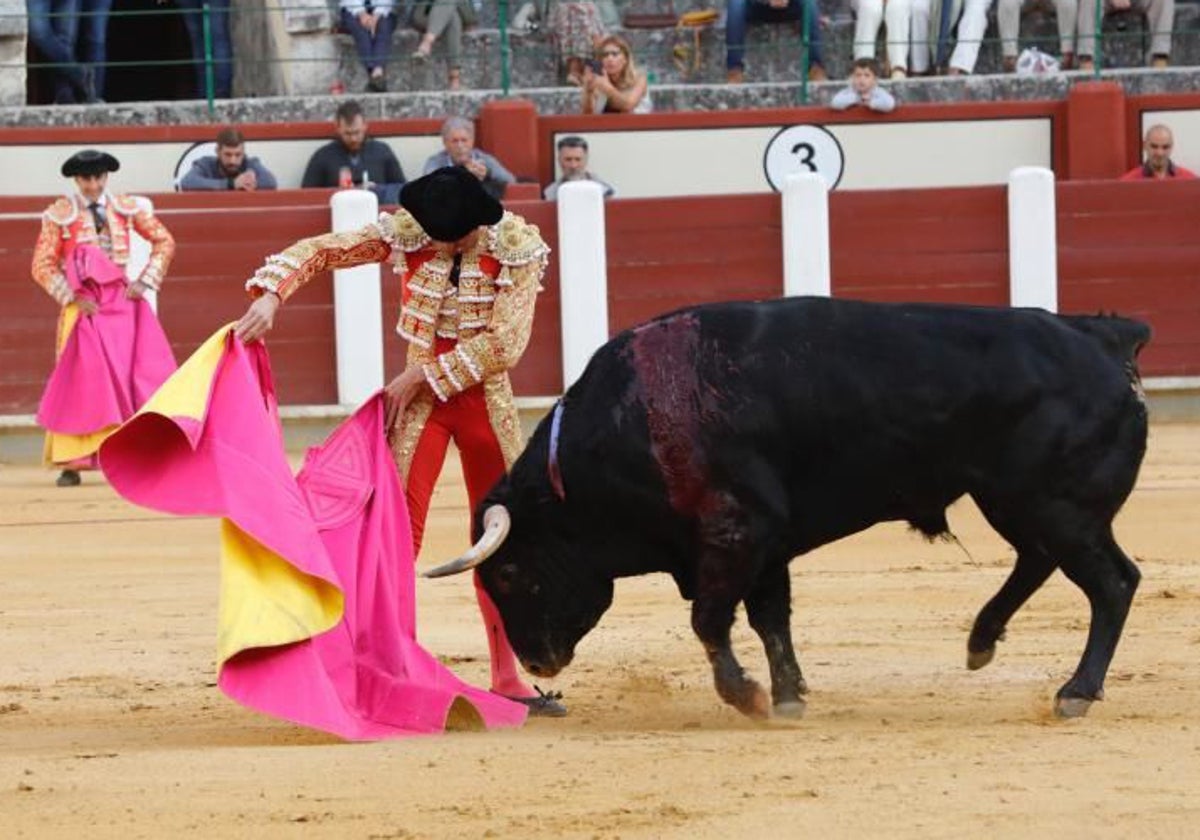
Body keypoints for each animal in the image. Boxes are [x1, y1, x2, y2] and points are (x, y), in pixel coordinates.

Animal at [429, 298, 1152, 720]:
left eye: (510, 573)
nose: (537, 665)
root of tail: (1105, 337)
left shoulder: (735, 531)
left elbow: (710, 619)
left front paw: (748, 697)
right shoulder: (764, 544)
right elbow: (770, 618)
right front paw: (790, 695)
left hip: (1053, 503)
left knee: (1112, 582)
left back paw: (1074, 692)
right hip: (1021, 501)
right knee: (1041, 562)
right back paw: (980, 643)